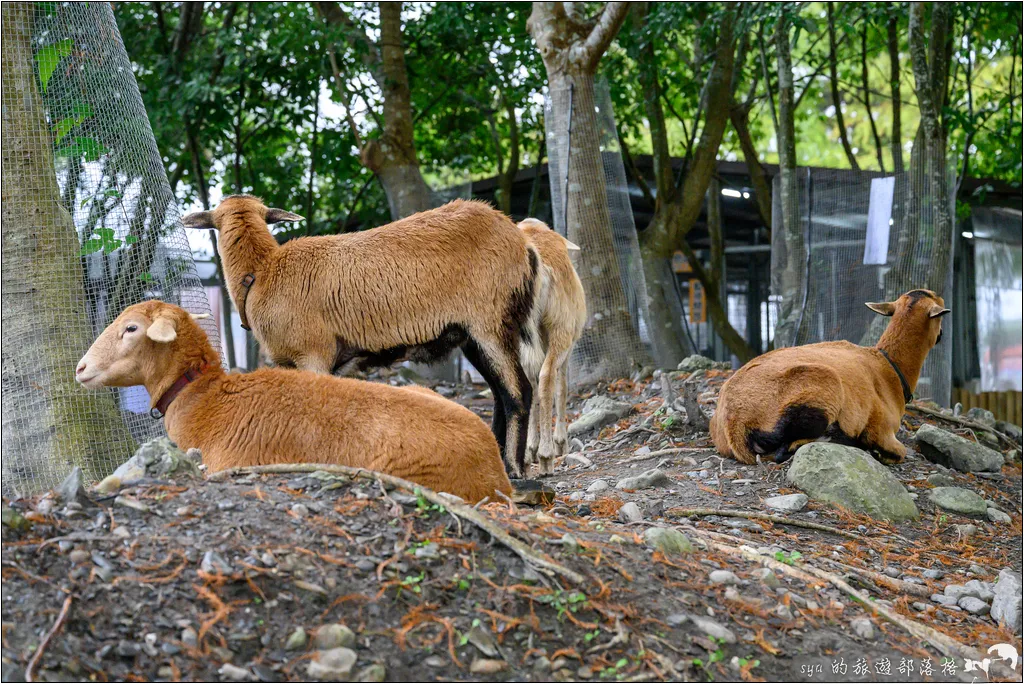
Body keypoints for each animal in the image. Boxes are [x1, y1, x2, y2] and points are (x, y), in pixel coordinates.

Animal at [181, 194, 544, 479]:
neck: (263, 272)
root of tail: (521, 241)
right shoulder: (287, 363)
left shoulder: (314, 355)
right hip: (471, 335)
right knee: (498, 393)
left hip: (491, 321)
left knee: (518, 392)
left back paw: (514, 468)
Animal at [520, 219, 585, 475]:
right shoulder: (569, 347)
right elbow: (562, 386)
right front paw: (560, 443)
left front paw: (532, 447)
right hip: (560, 328)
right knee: (547, 376)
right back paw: (547, 457)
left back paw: (526, 457)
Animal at [712, 288, 950, 464]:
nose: (940, 335)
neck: (887, 367)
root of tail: (734, 424)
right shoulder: (881, 430)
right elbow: (898, 452)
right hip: (821, 389)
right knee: (785, 450)